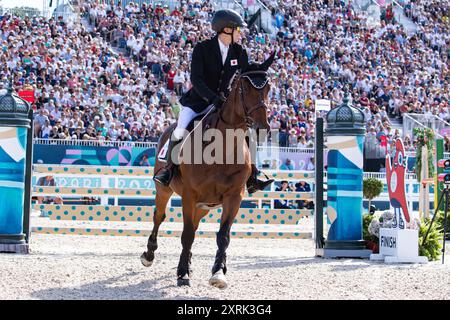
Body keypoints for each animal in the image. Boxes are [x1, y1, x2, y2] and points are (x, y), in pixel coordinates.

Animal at [142, 62, 272, 288]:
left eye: (268, 88)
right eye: (244, 88)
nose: (261, 128)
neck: (222, 149)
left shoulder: (233, 197)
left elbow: (223, 236)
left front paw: (218, 272)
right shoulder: (189, 194)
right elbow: (186, 235)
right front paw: (182, 274)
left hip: (205, 205)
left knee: (194, 226)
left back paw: (189, 262)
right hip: (165, 190)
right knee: (159, 216)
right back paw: (149, 255)